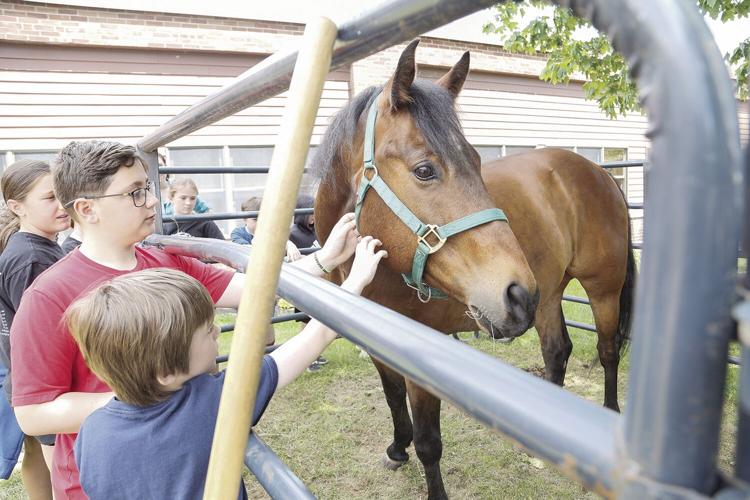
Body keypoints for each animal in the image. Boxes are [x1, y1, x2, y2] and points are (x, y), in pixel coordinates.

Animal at [312, 40, 635, 500]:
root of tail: (602, 175)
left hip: (601, 289)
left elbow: (430, 442)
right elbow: (392, 399)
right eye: (424, 170)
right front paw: (397, 448)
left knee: (608, 352)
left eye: (477, 160)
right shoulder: (377, 346)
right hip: (549, 293)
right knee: (557, 352)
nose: (514, 291)